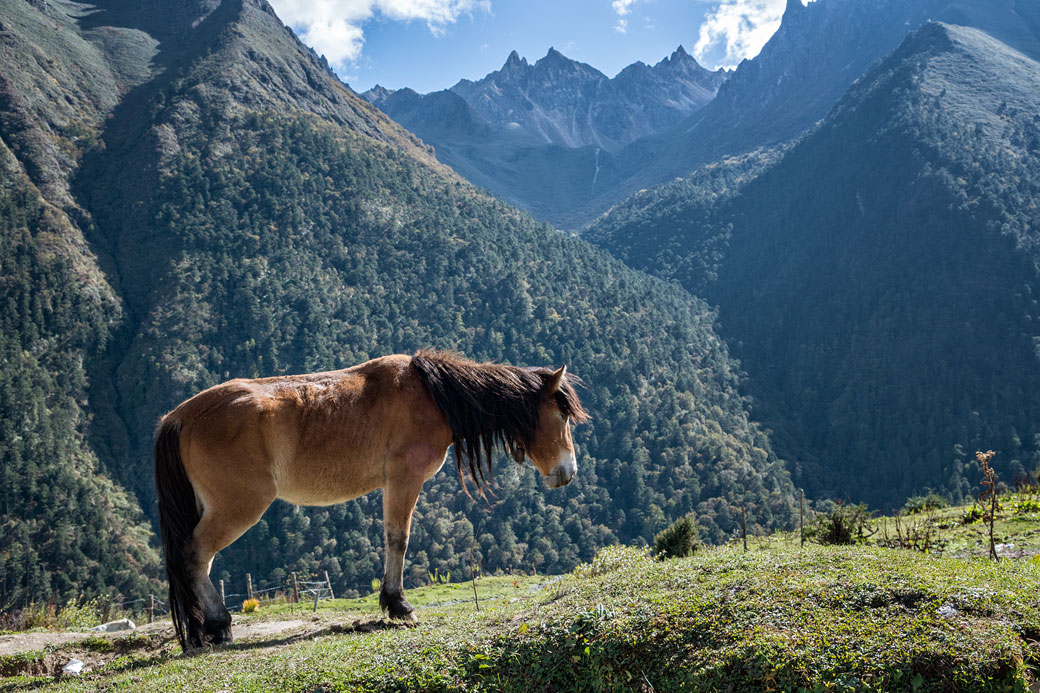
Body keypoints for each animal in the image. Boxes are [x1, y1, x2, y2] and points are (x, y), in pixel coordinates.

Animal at [151, 351, 590, 649]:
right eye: (561, 416)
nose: (568, 472)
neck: (431, 396)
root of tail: (179, 417)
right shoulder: (403, 480)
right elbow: (399, 539)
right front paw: (398, 605)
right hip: (238, 507)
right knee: (195, 556)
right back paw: (219, 624)